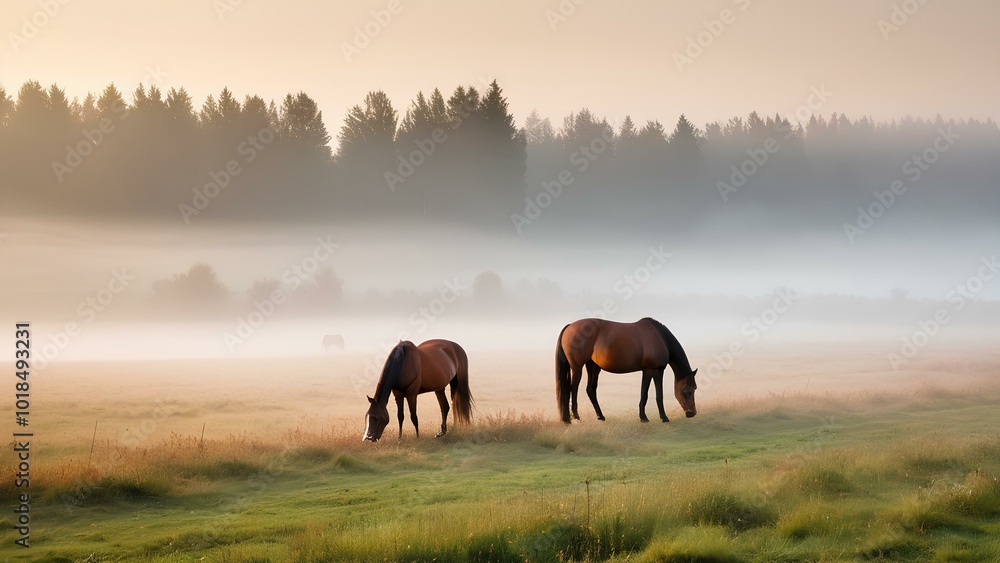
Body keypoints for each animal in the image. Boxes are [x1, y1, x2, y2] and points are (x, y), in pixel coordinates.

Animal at [555, 317, 697, 424]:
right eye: (687, 391)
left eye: (694, 389)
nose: (692, 413)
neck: (660, 337)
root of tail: (569, 326)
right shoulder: (650, 370)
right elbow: (647, 394)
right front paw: (646, 418)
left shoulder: (655, 370)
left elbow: (655, 394)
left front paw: (659, 417)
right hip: (577, 367)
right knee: (572, 389)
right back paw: (576, 416)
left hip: (593, 367)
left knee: (590, 389)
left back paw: (599, 416)